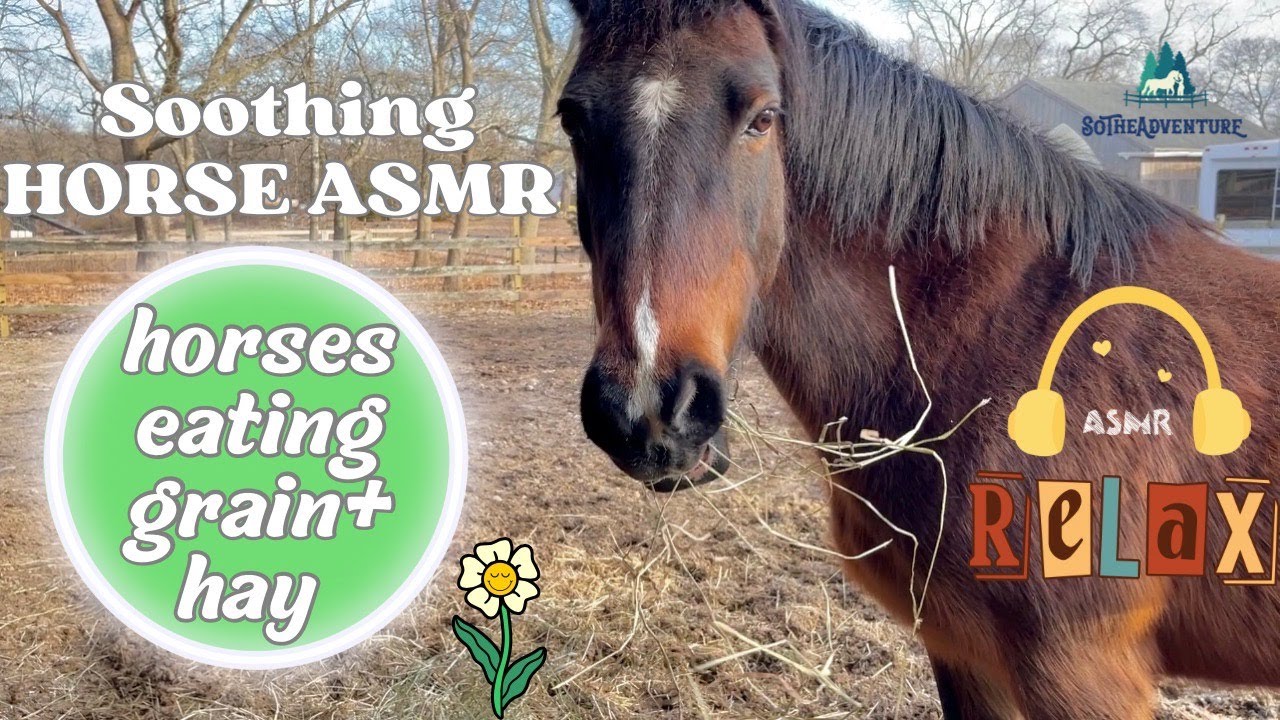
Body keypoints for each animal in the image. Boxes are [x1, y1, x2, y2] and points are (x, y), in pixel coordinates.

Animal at [562, 0, 1280, 717]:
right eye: (573, 120)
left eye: (763, 117)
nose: (652, 412)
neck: (992, 341)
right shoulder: (963, 652)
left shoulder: (1085, 669)